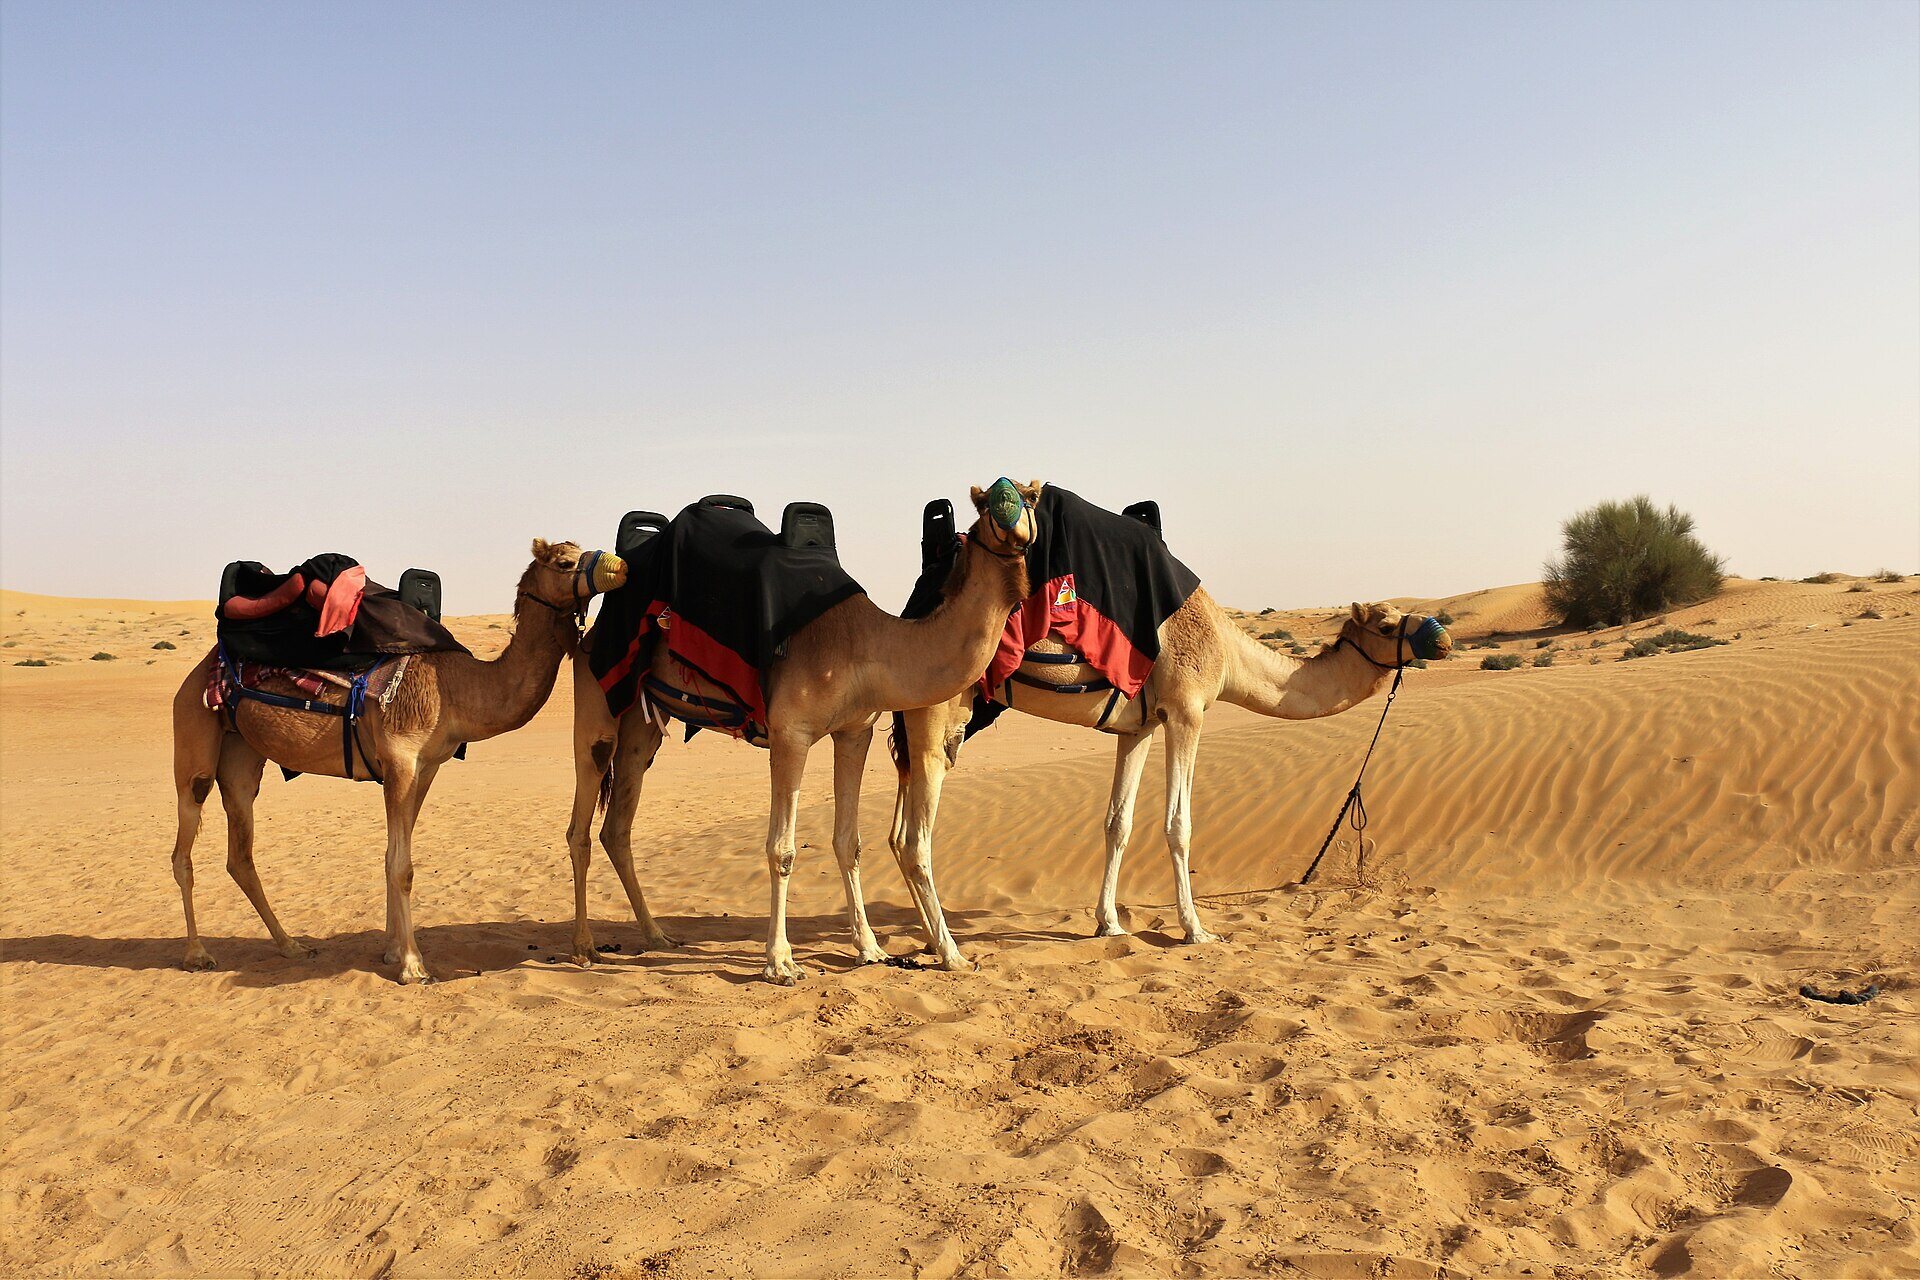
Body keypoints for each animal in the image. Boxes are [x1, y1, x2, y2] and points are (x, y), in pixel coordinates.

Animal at [170, 540, 627, 983]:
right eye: (565, 561)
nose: (620, 566)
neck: (456, 687)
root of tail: (198, 671)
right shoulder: (400, 759)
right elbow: (401, 865)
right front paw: (411, 964)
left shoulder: (426, 767)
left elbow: (394, 854)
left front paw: (391, 951)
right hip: (193, 732)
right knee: (184, 843)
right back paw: (197, 954)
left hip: (242, 755)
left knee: (240, 853)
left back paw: (291, 946)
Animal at [566, 481, 1038, 984]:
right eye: (999, 501)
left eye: (1030, 498)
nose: (1022, 532)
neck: (868, 645)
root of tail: (590, 632)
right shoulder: (790, 733)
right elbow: (782, 849)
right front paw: (780, 962)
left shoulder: (855, 731)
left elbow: (849, 842)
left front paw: (870, 948)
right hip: (596, 691)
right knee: (582, 816)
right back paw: (584, 947)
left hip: (642, 722)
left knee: (617, 825)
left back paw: (657, 936)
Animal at [888, 594, 1452, 969]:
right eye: (1386, 624)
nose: (1443, 637)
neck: (1227, 651)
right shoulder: (1186, 711)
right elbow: (1178, 825)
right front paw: (1196, 930)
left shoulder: (1137, 725)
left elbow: (1118, 822)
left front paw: (1110, 923)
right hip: (937, 713)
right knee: (916, 840)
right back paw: (950, 952)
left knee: (897, 836)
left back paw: (923, 941)